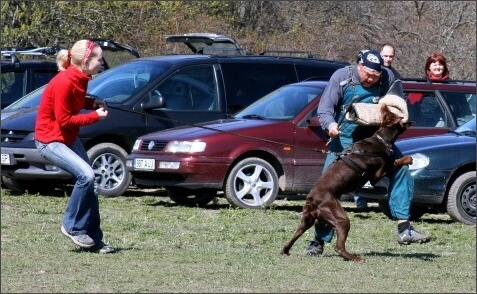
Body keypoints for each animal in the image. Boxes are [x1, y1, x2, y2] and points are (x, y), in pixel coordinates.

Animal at [280, 103, 410, 262]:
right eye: (396, 115)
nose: (383, 104)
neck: (381, 139)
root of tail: (311, 199)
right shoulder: (377, 174)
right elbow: (394, 162)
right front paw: (408, 158)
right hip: (340, 217)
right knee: (339, 247)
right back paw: (356, 258)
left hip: (307, 220)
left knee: (293, 236)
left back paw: (286, 250)